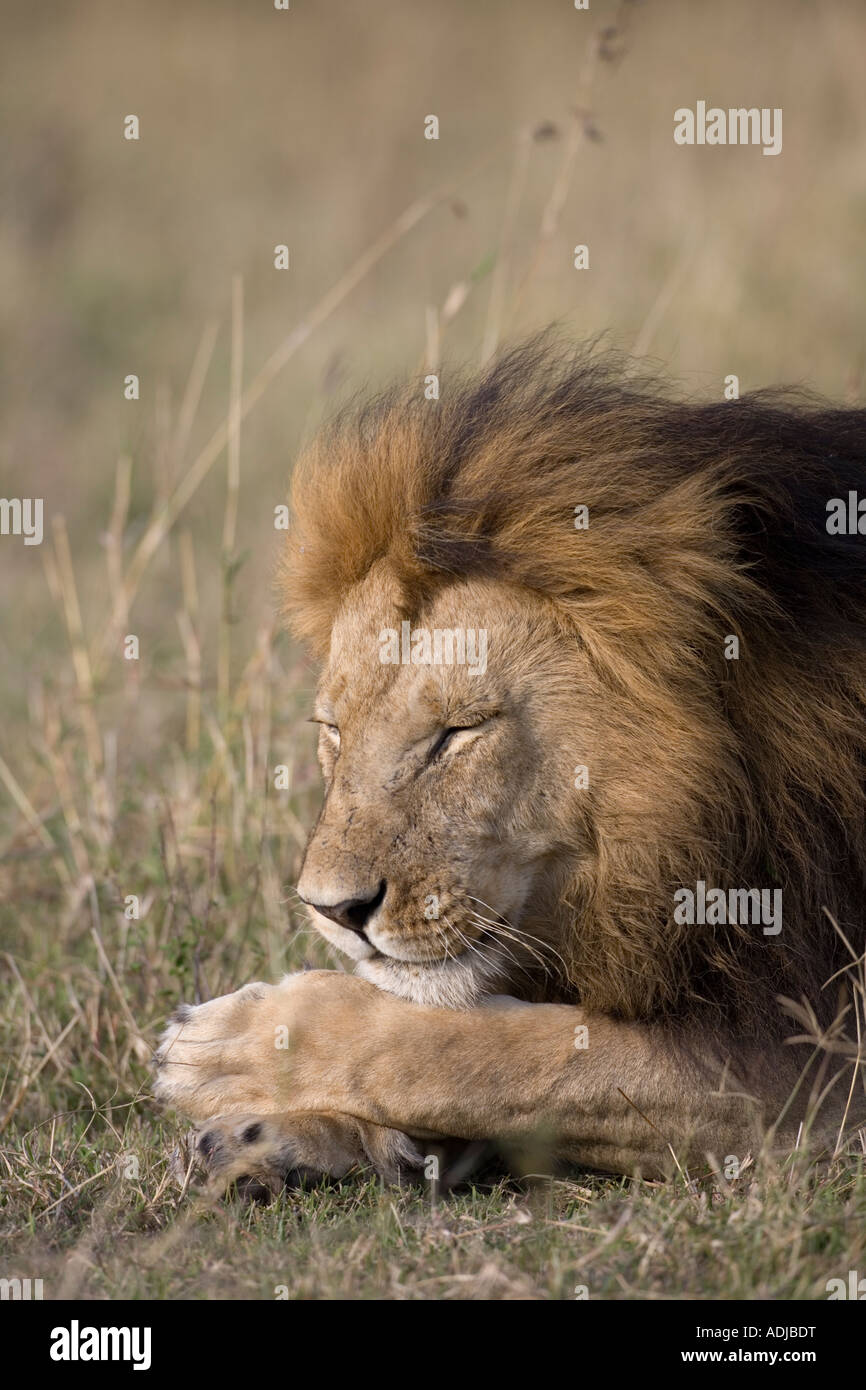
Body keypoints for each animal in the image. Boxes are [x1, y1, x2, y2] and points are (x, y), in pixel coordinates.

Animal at [155, 340, 866, 1191]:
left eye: (458, 732)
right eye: (332, 731)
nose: (333, 912)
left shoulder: (815, 1066)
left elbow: (500, 1053)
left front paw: (238, 1045)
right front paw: (277, 1136)